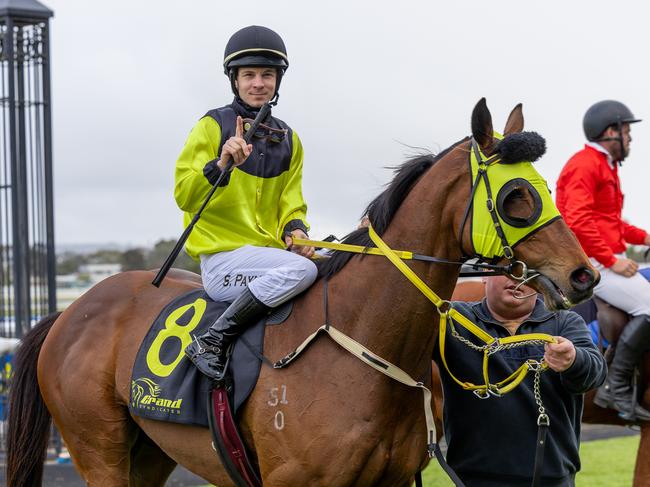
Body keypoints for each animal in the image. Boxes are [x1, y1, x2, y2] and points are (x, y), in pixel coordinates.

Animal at [8, 99, 596, 487]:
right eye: (516, 196)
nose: (582, 276)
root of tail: (69, 312)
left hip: (148, 451)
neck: (361, 342)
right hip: (99, 449)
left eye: (546, 187)